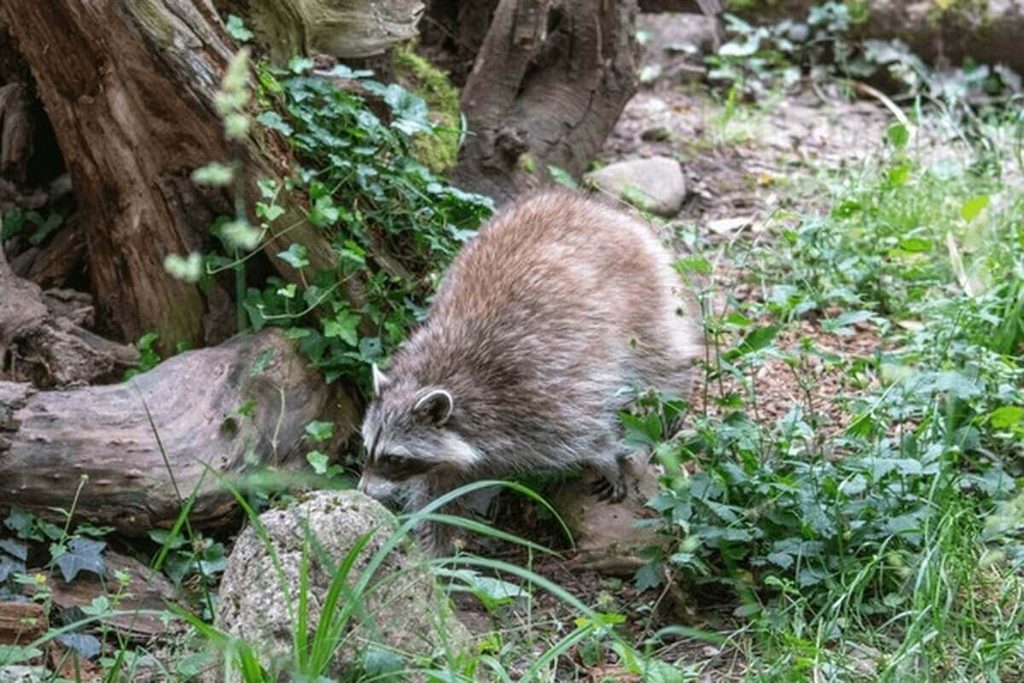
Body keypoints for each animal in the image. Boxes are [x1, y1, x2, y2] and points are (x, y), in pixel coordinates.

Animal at [358, 189, 701, 555]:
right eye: (367, 449)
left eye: (394, 458)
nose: (363, 491)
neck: (435, 373)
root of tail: (598, 208)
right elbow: (438, 498)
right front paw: (434, 552)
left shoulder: (534, 394)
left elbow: (585, 428)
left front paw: (605, 456)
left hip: (640, 297)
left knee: (659, 356)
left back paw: (676, 390)